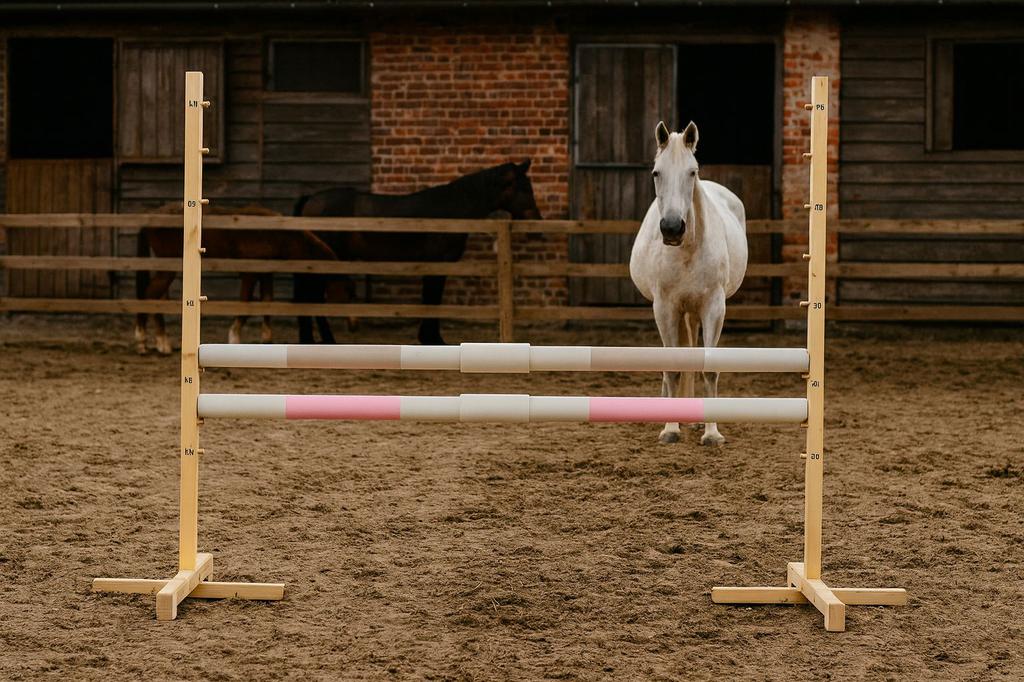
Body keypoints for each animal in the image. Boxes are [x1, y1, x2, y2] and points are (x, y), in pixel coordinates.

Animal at [134, 203, 340, 354]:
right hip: (168, 268)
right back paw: (149, 342)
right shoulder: (250, 273)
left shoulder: (266, 273)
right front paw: (234, 337)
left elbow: (267, 302)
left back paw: (157, 341)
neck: (275, 233)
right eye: (319, 284)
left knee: (156, 298)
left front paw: (267, 338)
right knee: (149, 295)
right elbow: (245, 305)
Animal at [293, 160, 541, 345]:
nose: (537, 223)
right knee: (312, 297)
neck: (451, 211)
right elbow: (432, 300)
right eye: (524, 188)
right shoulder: (438, 263)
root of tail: (311, 200)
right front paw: (433, 339)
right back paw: (325, 340)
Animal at [629, 121, 749, 446]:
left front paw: (712, 432)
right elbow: (672, 368)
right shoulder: (665, 307)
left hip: (694, 311)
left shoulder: (713, 307)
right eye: (656, 173)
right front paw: (670, 428)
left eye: (692, 172)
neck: (686, 250)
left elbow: (708, 369)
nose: (672, 228)